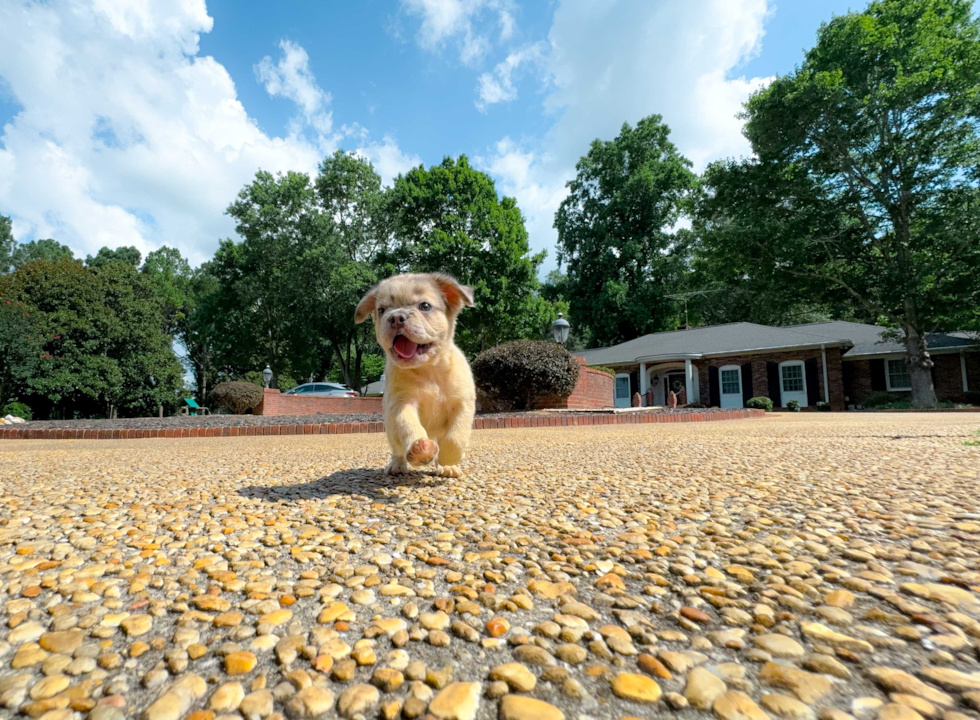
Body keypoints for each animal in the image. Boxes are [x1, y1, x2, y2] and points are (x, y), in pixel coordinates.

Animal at [354, 272, 476, 476]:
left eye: (425, 306)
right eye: (382, 310)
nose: (396, 317)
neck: (428, 370)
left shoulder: (462, 404)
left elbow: (455, 437)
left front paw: (447, 459)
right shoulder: (401, 404)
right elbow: (409, 426)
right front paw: (421, 450)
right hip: (390, 427)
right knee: (397, 448)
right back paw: (397, 465)